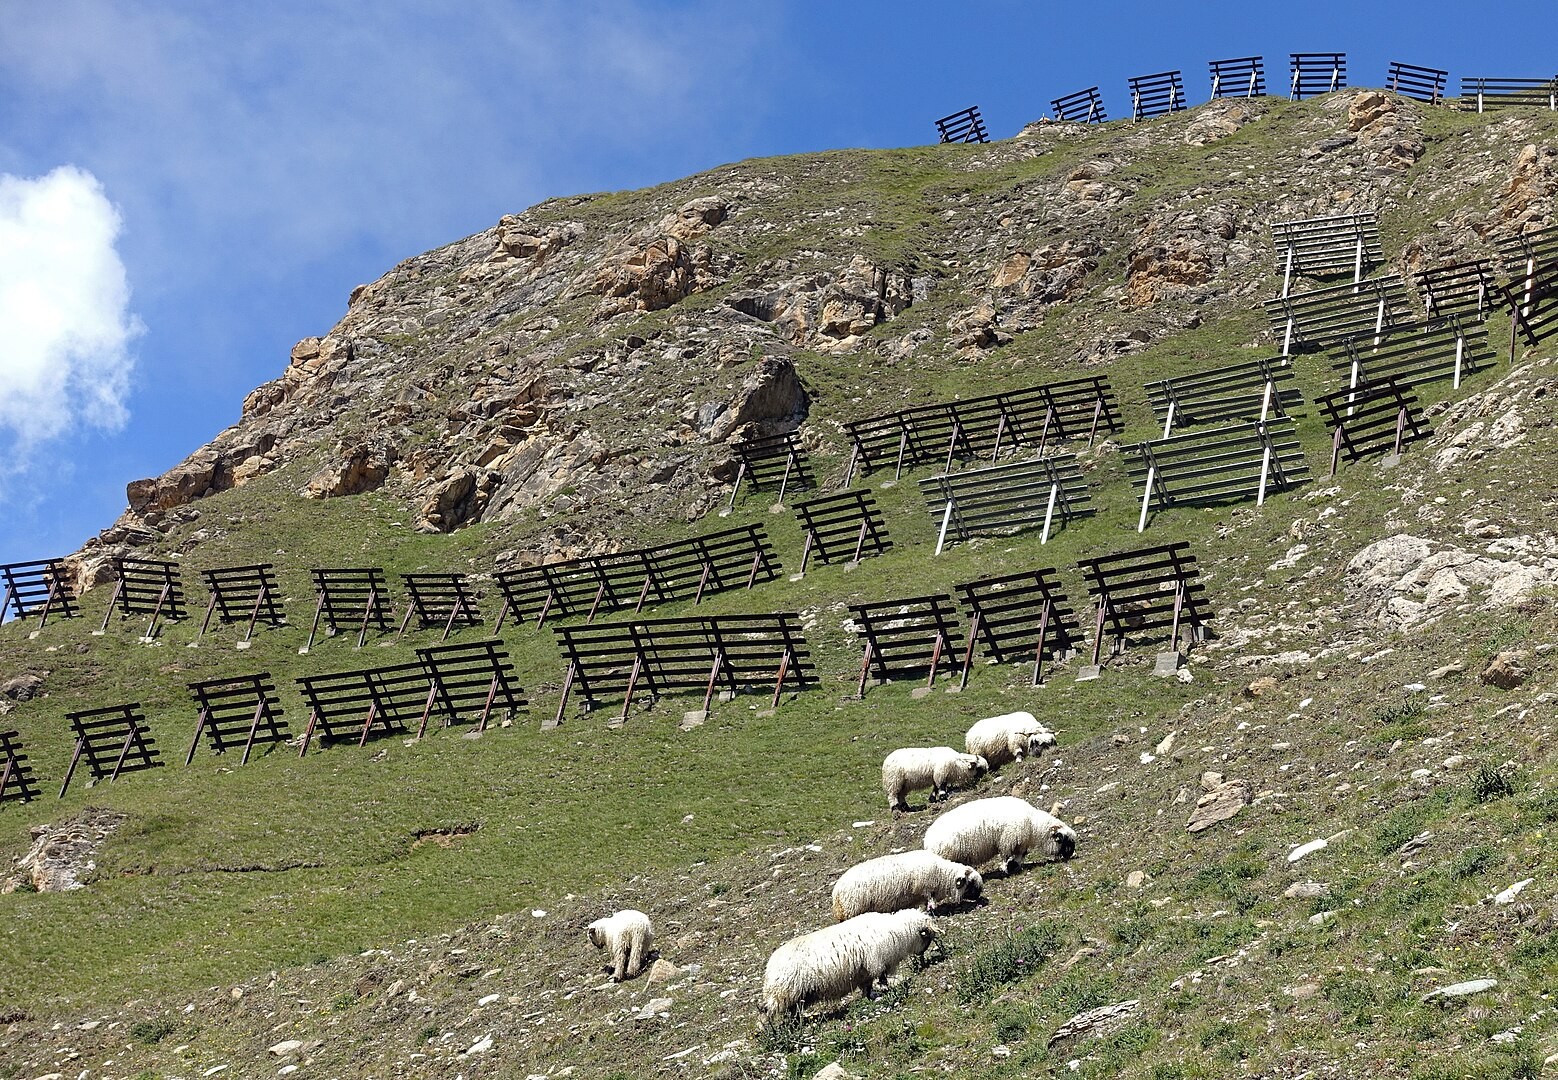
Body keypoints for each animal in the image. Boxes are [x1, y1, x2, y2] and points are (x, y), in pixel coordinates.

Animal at [763, 903, 934, 1016]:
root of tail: (770, 968)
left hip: (798, 995)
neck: (897, 931)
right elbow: (882, 978)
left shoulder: (865, 971)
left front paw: (870, 997)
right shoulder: (877, 962)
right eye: (926, 937)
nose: (923, 957)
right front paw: (885, 990)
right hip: (786, 992)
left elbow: (868, 987)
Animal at [835, 854, 978, 916]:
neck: (942, 873)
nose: (978, 897)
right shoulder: (927, 887)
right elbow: (931, 901)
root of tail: (836, 892)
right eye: (970, 883)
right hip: (853, 910)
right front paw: (932, 911)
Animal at [916, 791, 1078, 878]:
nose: (1070, 856)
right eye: (1064, 841)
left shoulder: (1020, 842)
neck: (1033, 825)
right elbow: (1006, 856)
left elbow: (1020, 855)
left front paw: (1015, 866)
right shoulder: (1008, 840)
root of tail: (928, 841)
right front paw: (1006, 869)